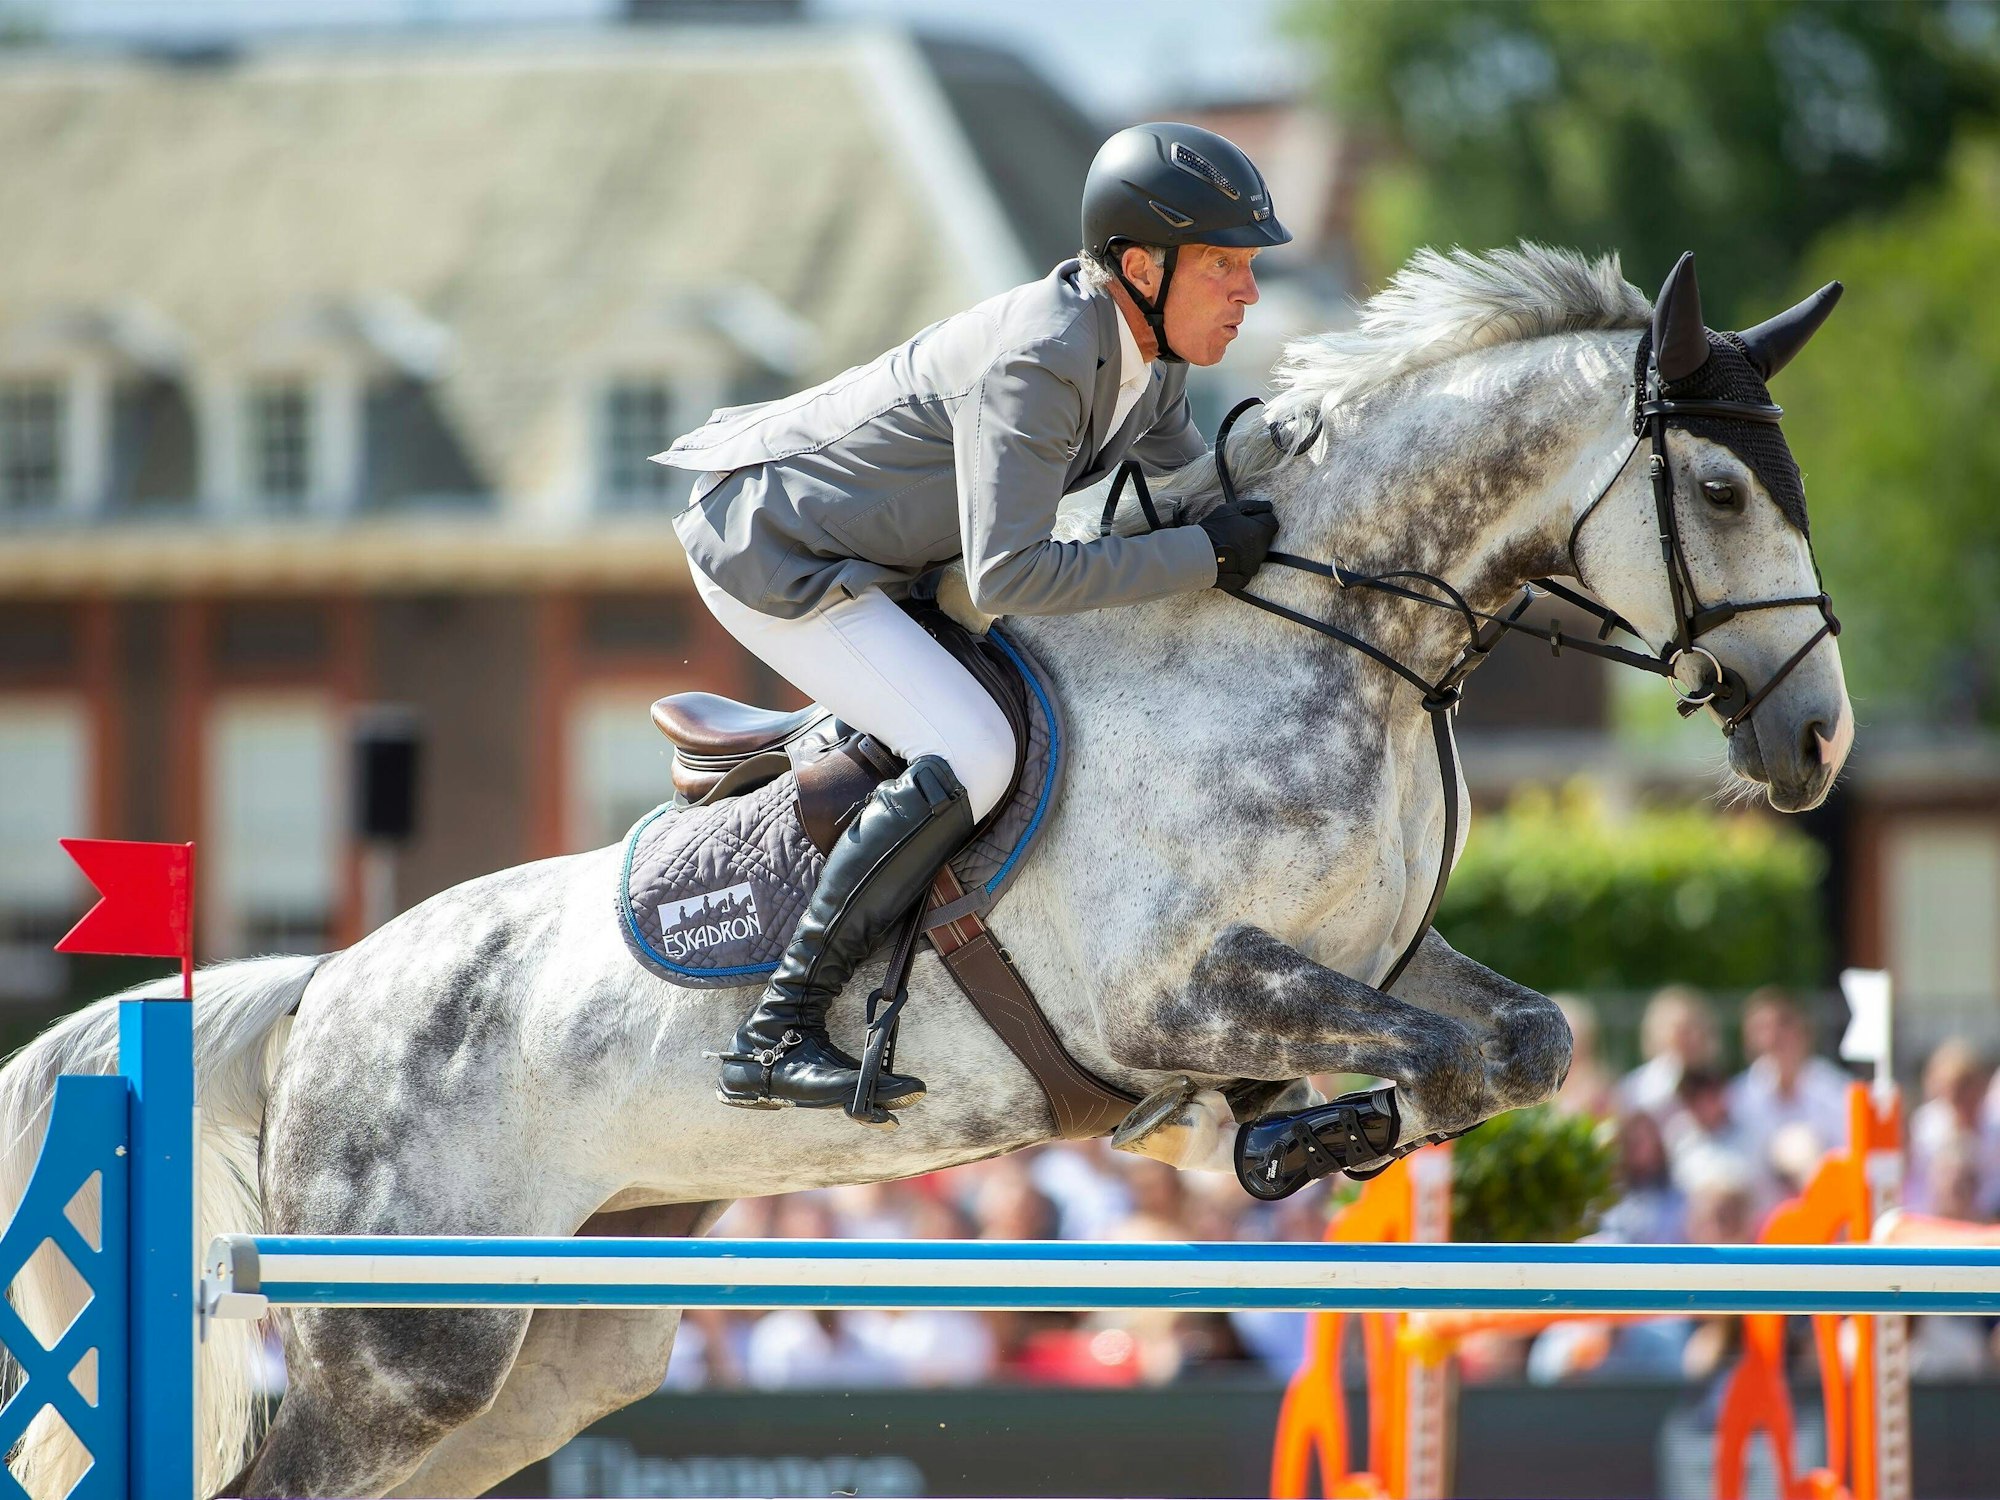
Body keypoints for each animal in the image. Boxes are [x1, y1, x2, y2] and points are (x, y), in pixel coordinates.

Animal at [0, 244, 1852, 1498]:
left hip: (556, 1343)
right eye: (1715, 485)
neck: (1327, 637)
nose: (1819, 744)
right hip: (409, 1347)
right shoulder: (1170, 996)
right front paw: (1286, 1139)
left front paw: (1300, 1133)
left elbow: (1519, 1041)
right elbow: (1433, 1059)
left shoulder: (1375, 962)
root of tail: (325, 987)